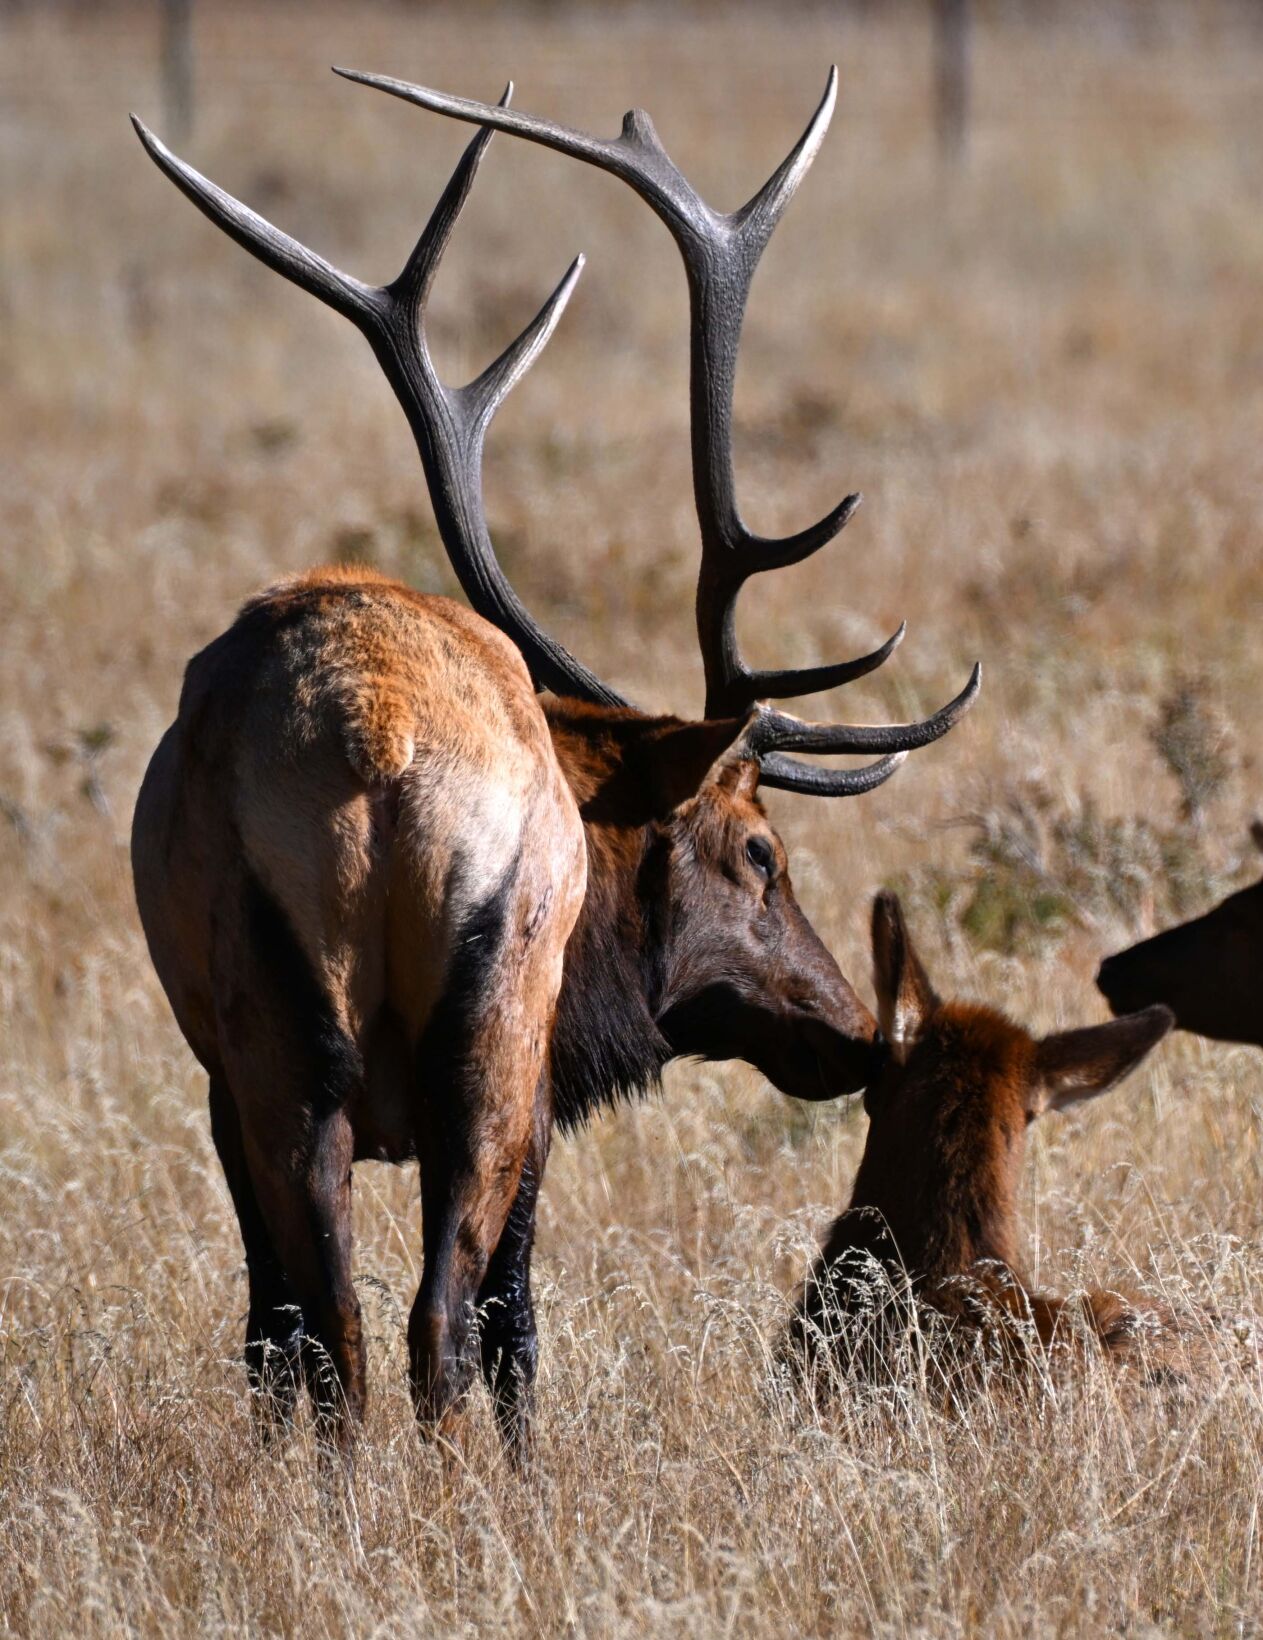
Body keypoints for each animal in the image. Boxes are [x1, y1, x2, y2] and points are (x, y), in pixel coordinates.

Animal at [130, 68, 979, 1463]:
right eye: (763, 849)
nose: (855, 1032)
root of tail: (377, 745)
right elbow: (514, 1312)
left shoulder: (212, 1086)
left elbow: (270, 1328)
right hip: (493, 1029)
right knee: (442, 1318)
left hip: (272, 1040)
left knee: (330, 1327)